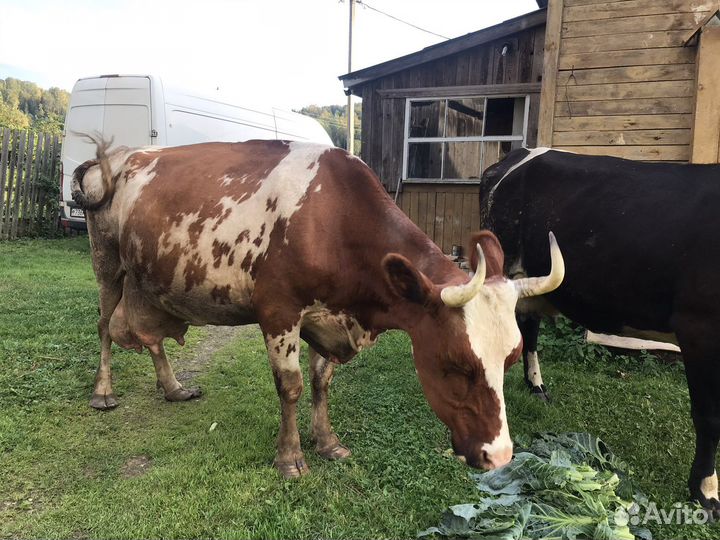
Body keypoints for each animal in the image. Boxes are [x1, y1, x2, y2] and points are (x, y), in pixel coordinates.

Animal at [72, 137, 564, 478]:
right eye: (456, 365)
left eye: (511, 358)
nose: (499, 455)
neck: (332, 221)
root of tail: (119, 156)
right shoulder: (278, 311)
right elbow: (290, 386)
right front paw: (290, 458)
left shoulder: (325, 317)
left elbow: (321, 381)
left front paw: (327, 442)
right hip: (106, 262)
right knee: (103, 325)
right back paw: (103, 391)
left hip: (147, 279)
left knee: (150, 334)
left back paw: (173, 387)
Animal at [479, 147, 720, 512]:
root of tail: (520, 152)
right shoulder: (699, 326)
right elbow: (708, 417)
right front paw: (705, 491)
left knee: (528, 328)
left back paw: (537, 388)